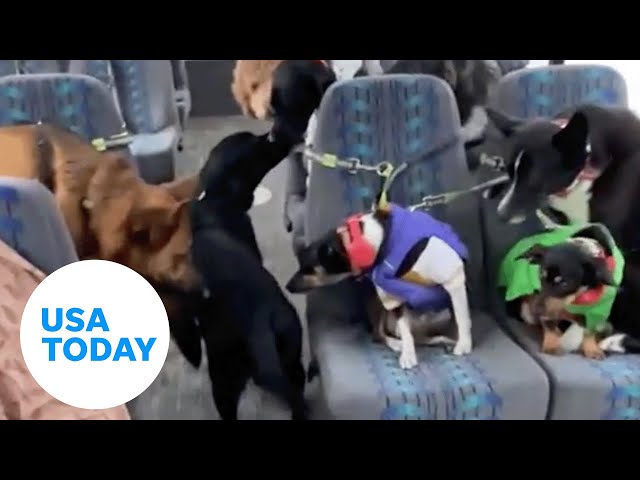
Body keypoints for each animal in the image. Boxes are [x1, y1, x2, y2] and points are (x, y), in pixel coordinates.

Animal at [288, 202, 472, 368]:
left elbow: (461, 316)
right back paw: (400, 343)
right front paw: (408, 354)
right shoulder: (390, 296)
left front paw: (464, 343)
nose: (288, 286)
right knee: (381, 334)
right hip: (377, 301)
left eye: (309, 270)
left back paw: (439, 339)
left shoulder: (453, 277)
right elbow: (404, 328)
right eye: (301, 266)